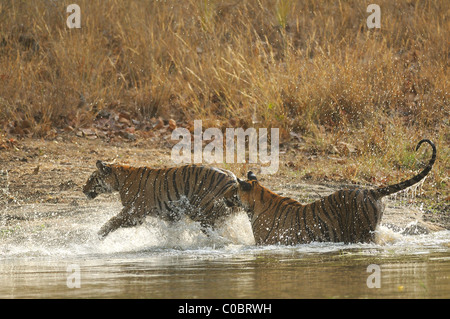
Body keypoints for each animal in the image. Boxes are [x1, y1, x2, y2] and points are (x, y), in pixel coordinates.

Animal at [83, 162, 241, 240]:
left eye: (91, 179)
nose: (83, 189)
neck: (120, 180)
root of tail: (233, 180)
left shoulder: (134, 214)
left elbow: (111, 222)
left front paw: (97, 237)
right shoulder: (171, 214)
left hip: (202, 213)